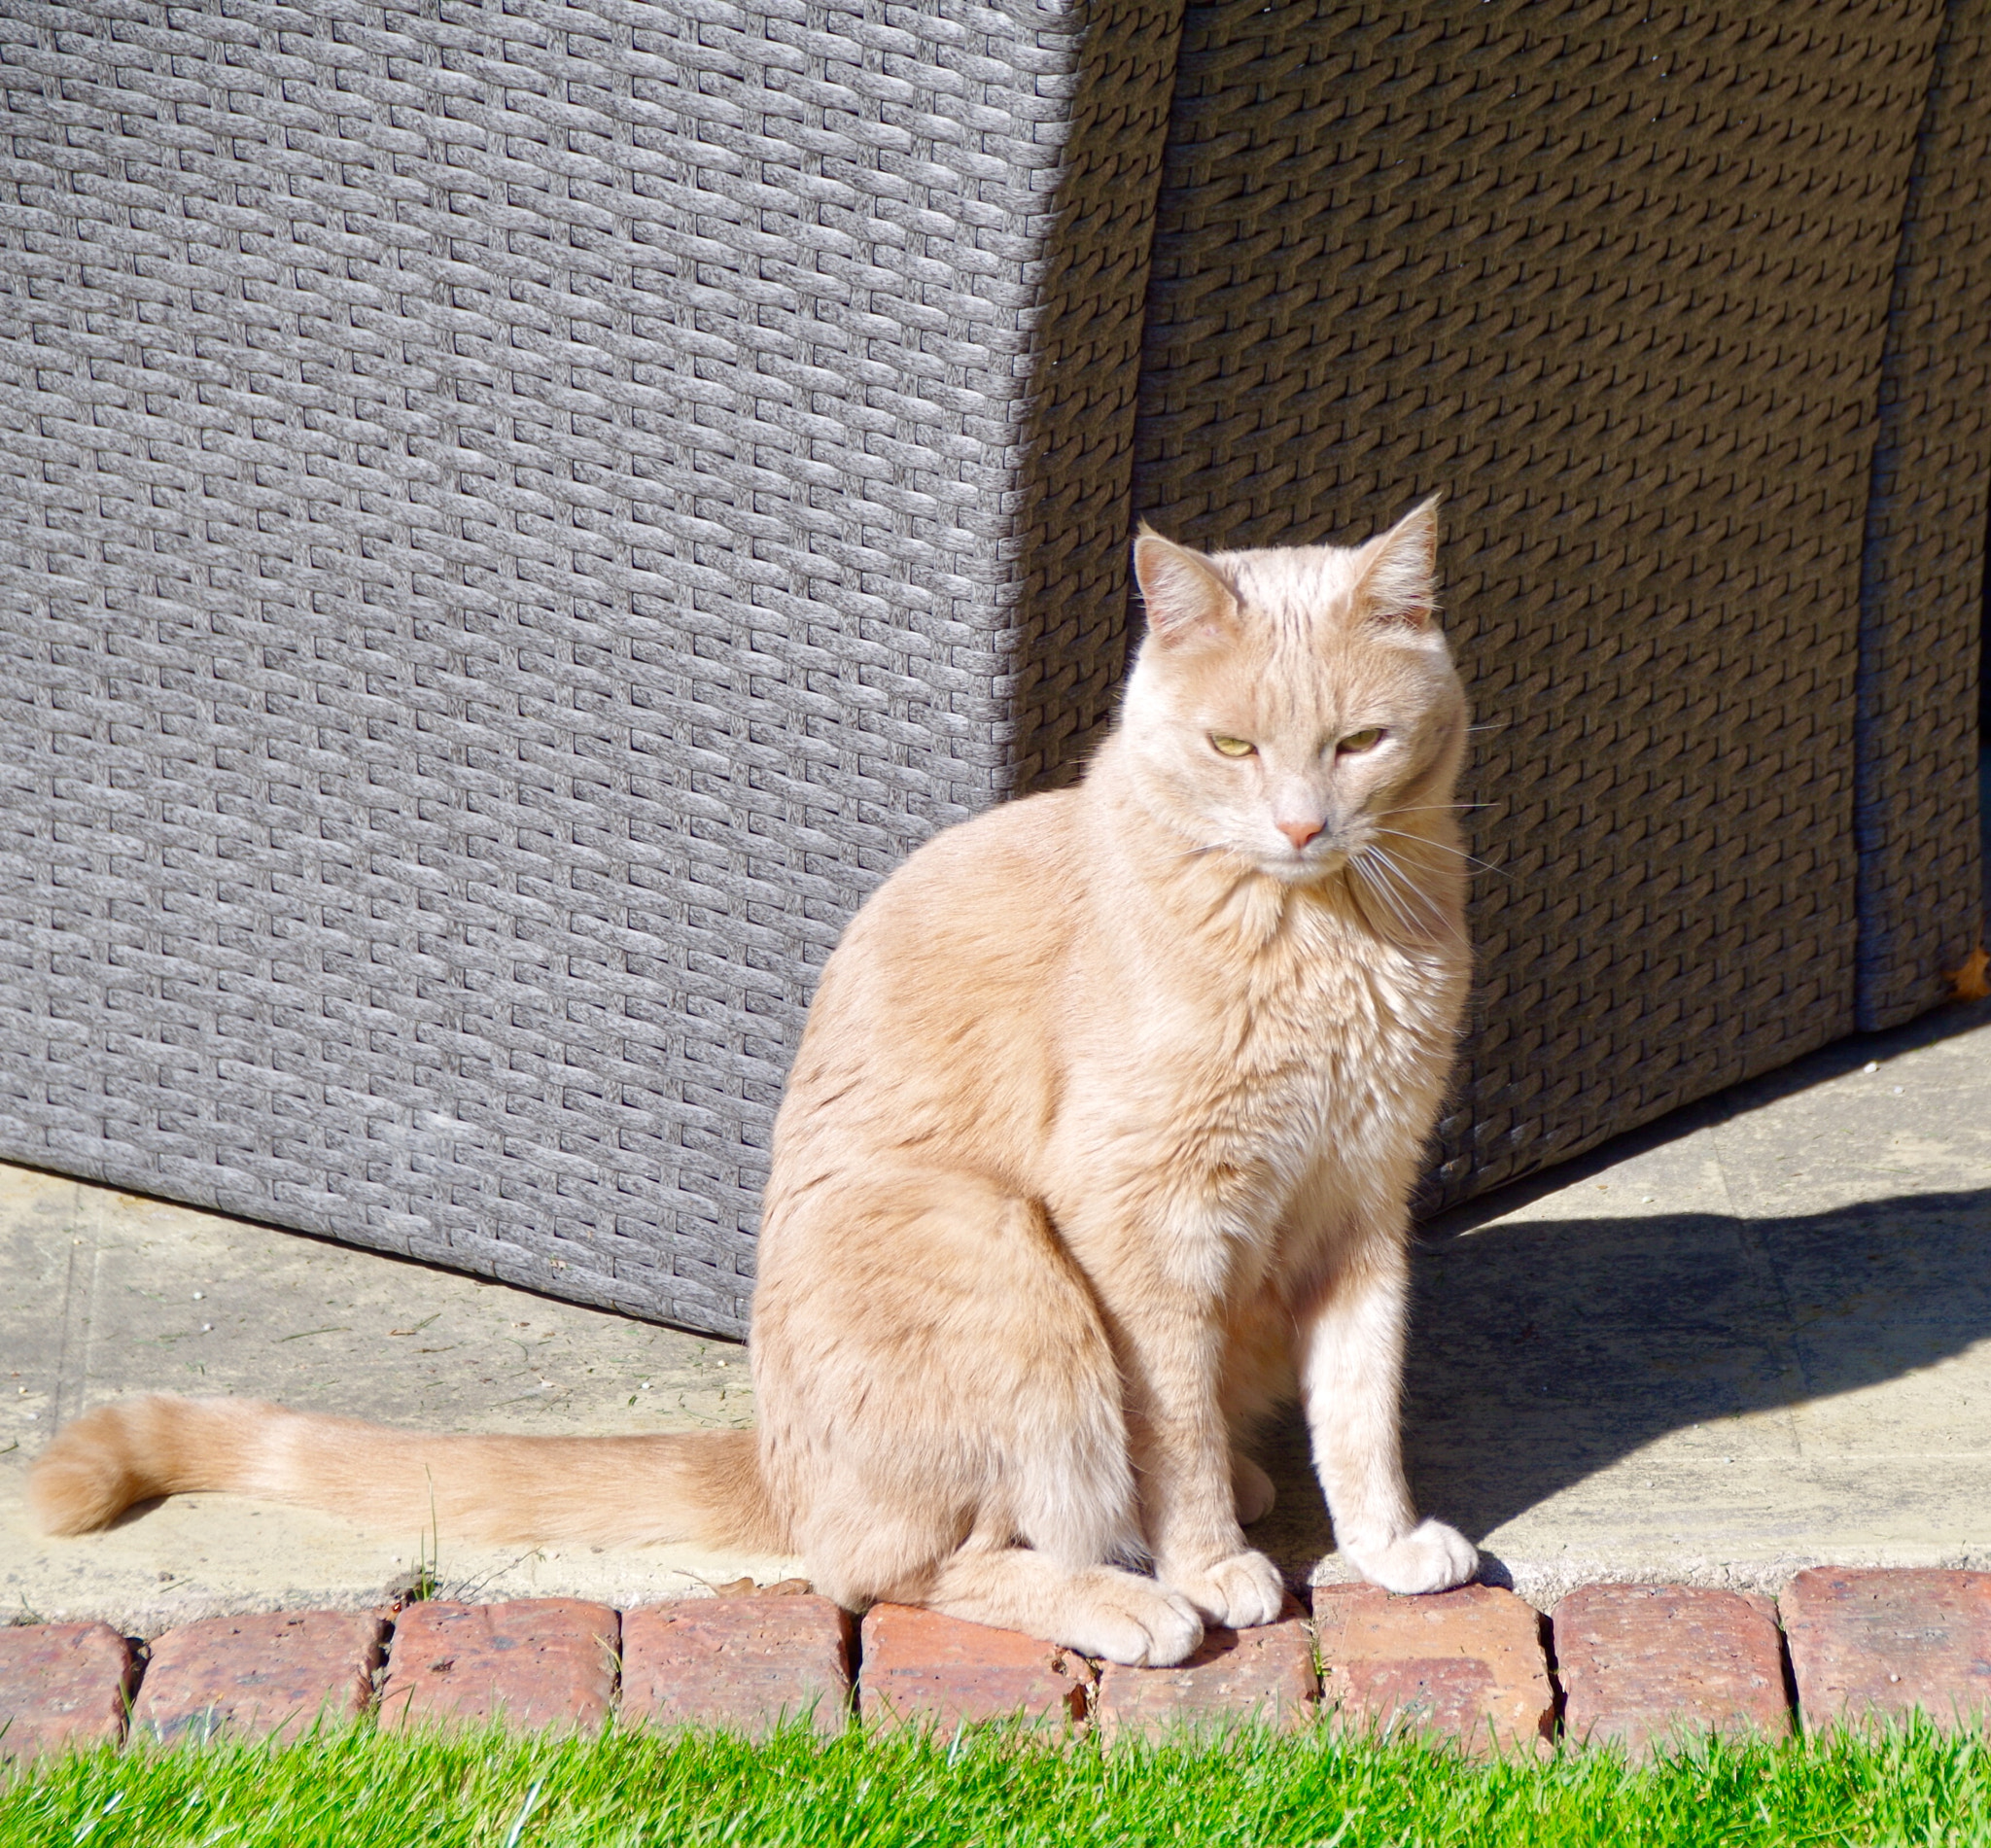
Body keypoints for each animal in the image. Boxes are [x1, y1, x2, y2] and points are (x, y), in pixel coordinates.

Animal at [31, 498, 1481, 1664]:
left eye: (1357, 741)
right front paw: (1214, 1566)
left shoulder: (1362, 1208)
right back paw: (1131, 1599)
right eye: (1233, 747)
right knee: (900, 1563)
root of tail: (773, 1457)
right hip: (989, 1249)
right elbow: (1167, 1431)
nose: (1301, 823)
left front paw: (1386, 1543)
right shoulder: (1142, 1224)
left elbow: (1361, 1410)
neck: (1324, 940)